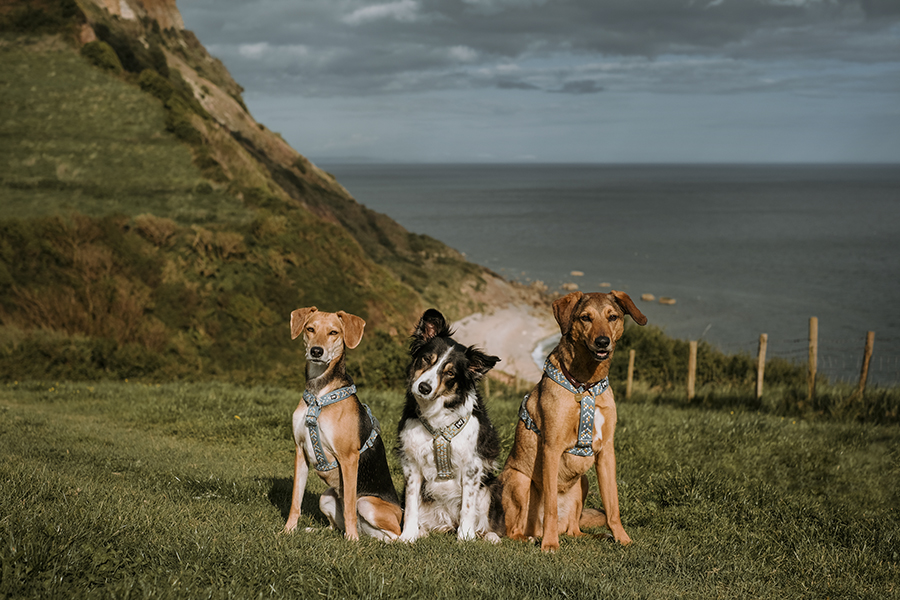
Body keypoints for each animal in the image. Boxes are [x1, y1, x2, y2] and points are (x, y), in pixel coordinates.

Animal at [284, 308, 404, 540]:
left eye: (334, 332)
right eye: (310, 329)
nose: (316, 351)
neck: (319, 392)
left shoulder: (349, 458)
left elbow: (349, 505)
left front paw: (352, 541)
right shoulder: (300, 451)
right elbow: (296, 500)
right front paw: (287, 531)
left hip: (367, 503)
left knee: (394, 534)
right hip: (326, 497)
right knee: (334, 526)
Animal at [500, 292, 648, 552]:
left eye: (612, 317)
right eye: (585, 318)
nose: (602, 342)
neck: (585, 386)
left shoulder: (606, 452)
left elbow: (613, 506)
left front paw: (622, 538)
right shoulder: (551, 449)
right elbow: (550, 506)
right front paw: (550, 544)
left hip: (583, 482)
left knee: (575, 529)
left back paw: (596, 536)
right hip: (518, 480)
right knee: (513, 530)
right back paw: (533, 537)